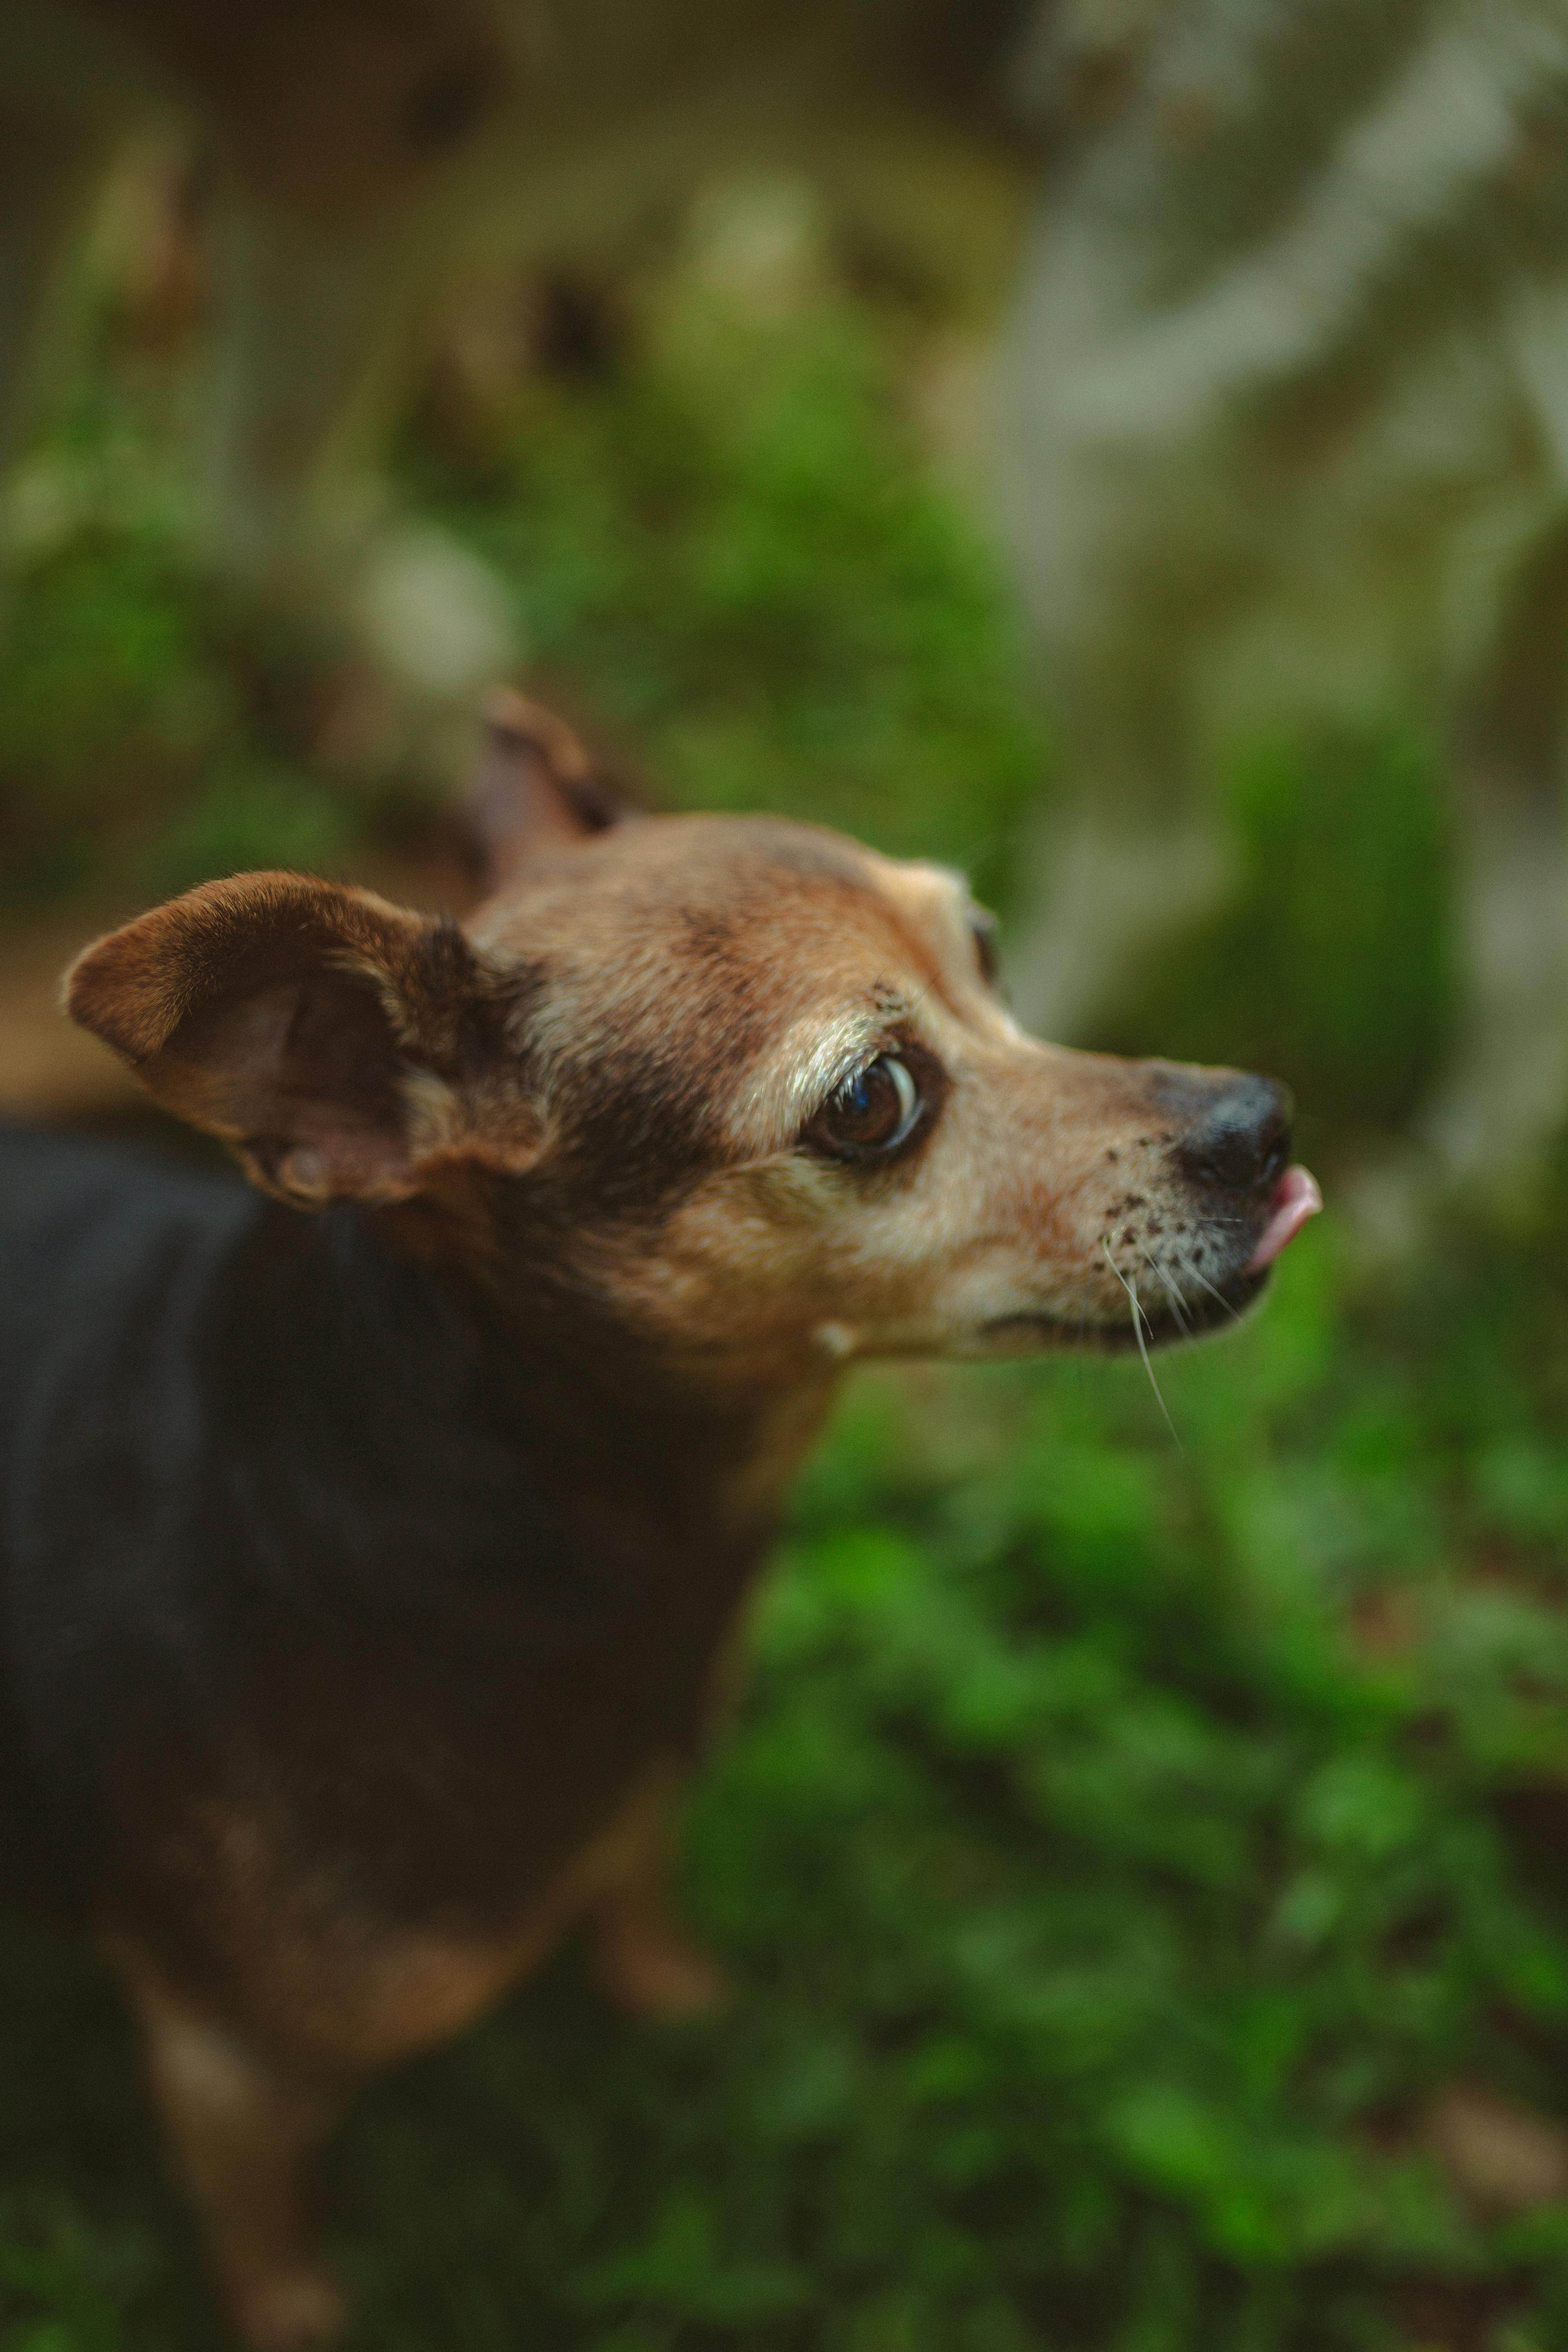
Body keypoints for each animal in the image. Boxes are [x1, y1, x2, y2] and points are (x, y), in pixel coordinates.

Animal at [6, 701, 1316, 2352]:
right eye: (873, 1102)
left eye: (989, 952)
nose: (1260, 1121)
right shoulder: (227, 2074)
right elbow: (279, 2268)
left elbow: (639, 1892)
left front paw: (678, 1997)